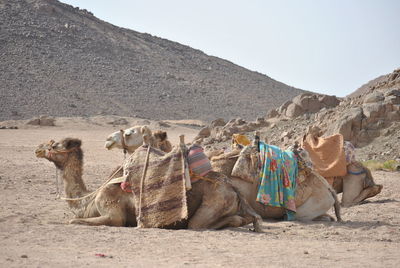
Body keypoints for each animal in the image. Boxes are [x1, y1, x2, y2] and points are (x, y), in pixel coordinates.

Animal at [36, 138, 262, 230]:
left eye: (54, 145)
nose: (38, 149)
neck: (89, 199)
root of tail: (232, 187)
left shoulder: (112, 210)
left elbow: (73, 220)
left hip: (217, 200)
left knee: (197, 224)